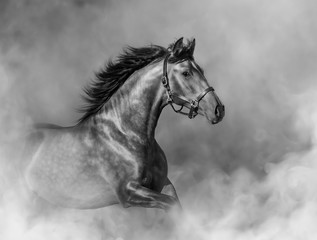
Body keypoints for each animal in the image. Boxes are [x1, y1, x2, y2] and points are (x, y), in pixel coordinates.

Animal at [23, 36, 223, 211]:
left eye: (201, 70)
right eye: (186, 73)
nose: (218, 110)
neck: (126, 133)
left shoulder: (162, 183)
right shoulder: (129, 192)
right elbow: (171, 205)